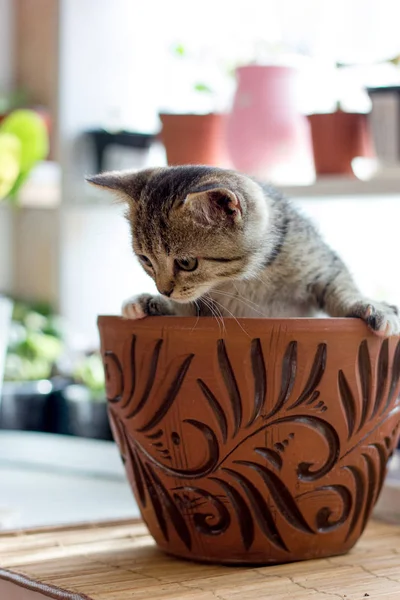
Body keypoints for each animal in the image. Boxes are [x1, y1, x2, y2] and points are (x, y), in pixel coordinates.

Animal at [87, 164, 400, 336]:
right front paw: (149, 302)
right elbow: (186, 309)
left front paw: (372, 307)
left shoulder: (321, 263)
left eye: (187, 263)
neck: (245, 280)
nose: (163, 290)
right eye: (146, 260)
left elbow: (341, 286)